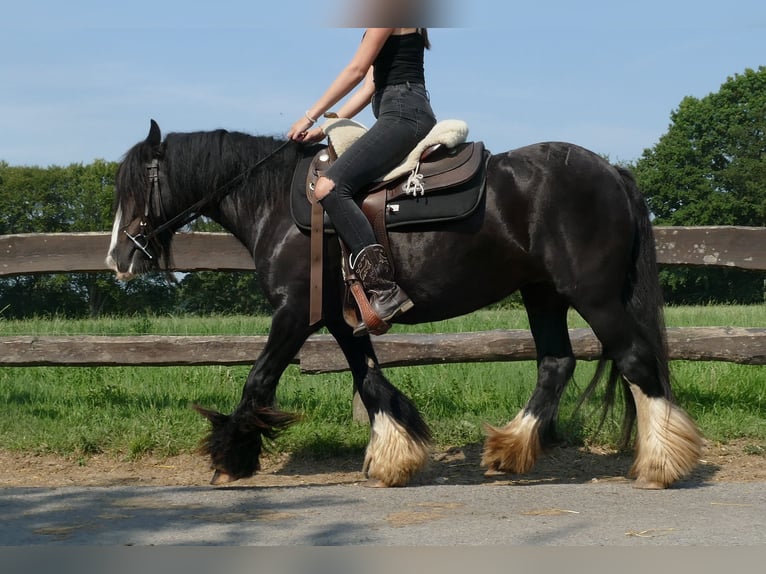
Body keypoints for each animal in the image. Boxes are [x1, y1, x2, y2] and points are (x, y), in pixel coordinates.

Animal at [106, 120, 704, 490]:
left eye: (136, 187)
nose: (117, 258)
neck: (278, 204)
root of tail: (611, 172)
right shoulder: (338, 319)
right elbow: (370, 380)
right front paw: (397, 455)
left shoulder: (295, 314)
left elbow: (258, 380)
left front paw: (232, 455)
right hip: (544, 294)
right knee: (556, 363)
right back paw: (509, 448)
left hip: (592, 295)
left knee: (635, 361)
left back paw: (661, 464)